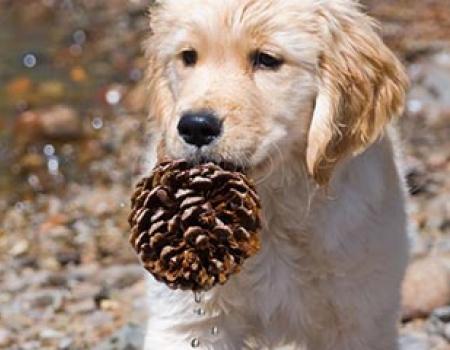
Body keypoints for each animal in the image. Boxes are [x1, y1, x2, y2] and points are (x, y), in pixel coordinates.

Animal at [142, 0, 410, 350]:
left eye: (267, 59)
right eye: (188, 56)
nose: (196, 126)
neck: (270, 208)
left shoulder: (361, 316)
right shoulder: (189, 319)